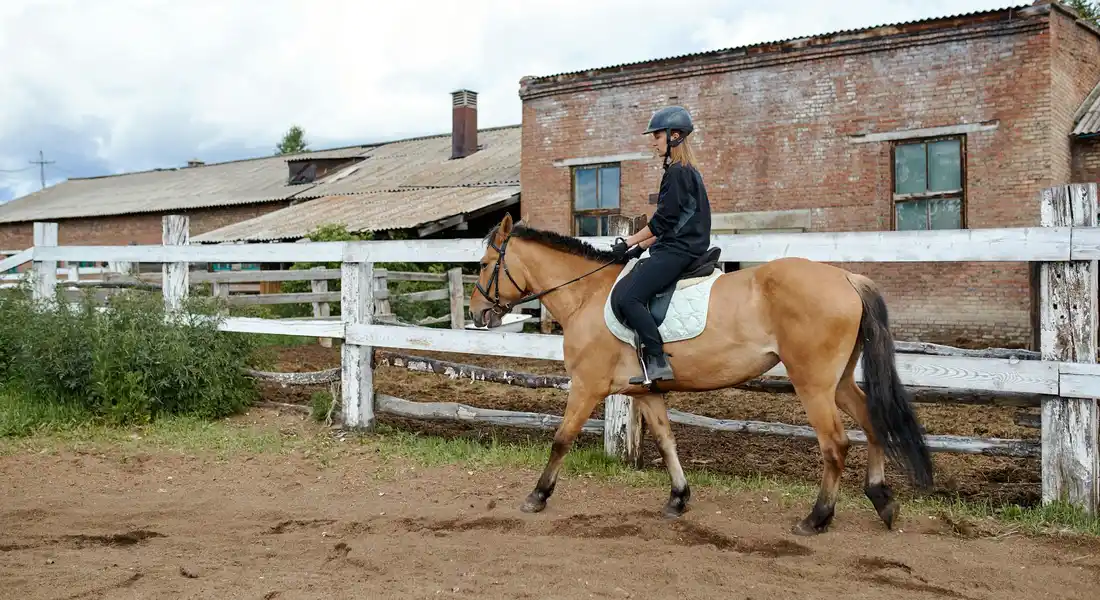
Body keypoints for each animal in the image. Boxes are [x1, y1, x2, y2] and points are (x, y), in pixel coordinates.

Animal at [468, 213, 933, 536]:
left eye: (487, 263)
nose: (476, 314)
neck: (587, 294)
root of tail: (847, 277)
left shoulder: (587, 386)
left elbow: (561, 439)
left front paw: (537, 496)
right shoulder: (646, 392)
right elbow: (666, 441)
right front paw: (678, 498)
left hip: (814, 383)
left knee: (835, 444)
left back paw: (817, 518)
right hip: (838, 382)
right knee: (872, 422)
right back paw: (882, 501)